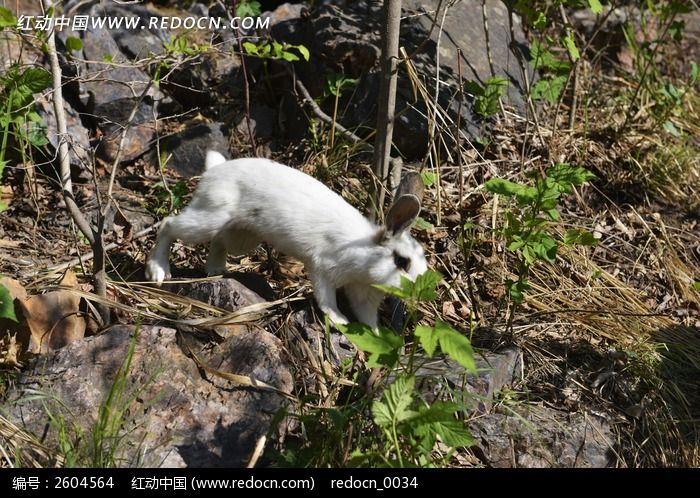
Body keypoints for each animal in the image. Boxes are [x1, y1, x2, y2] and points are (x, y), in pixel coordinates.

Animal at [145, 152, 426, 330]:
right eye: (402, 261)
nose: (418, 292)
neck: (365, 252)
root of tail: (215, 169)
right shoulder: (322, 269)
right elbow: (327, 300)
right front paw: (339, 320)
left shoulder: (362, 296)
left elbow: (368, 321)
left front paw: (375, 341)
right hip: (209, 217)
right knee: (168, 224)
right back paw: (158, 271)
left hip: (241, 237)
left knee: (218, 241)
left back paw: (215, 270)